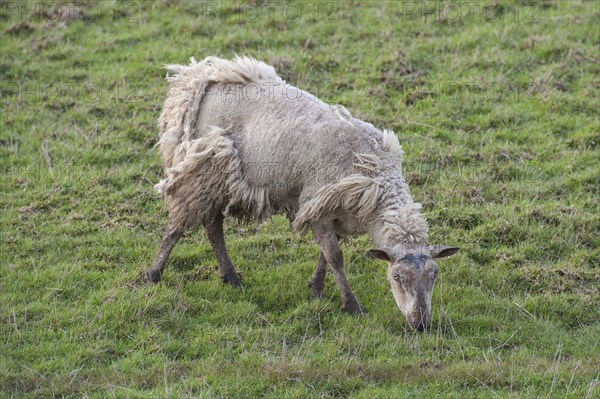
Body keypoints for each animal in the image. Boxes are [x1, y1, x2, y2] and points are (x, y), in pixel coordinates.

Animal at [149, 56, 460, 332]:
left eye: (435, 274)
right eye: (396, 276)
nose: (420, 324)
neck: (377, 176)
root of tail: (198, 76)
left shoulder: (331, 211)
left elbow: (326, 253)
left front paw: (317, 289)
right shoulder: (317, 204)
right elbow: (335, 256)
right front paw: (351, 305)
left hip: (219, 180)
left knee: (212, 225)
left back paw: (230, 277)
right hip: (204, 168)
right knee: (179, 225)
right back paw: (153, 273)